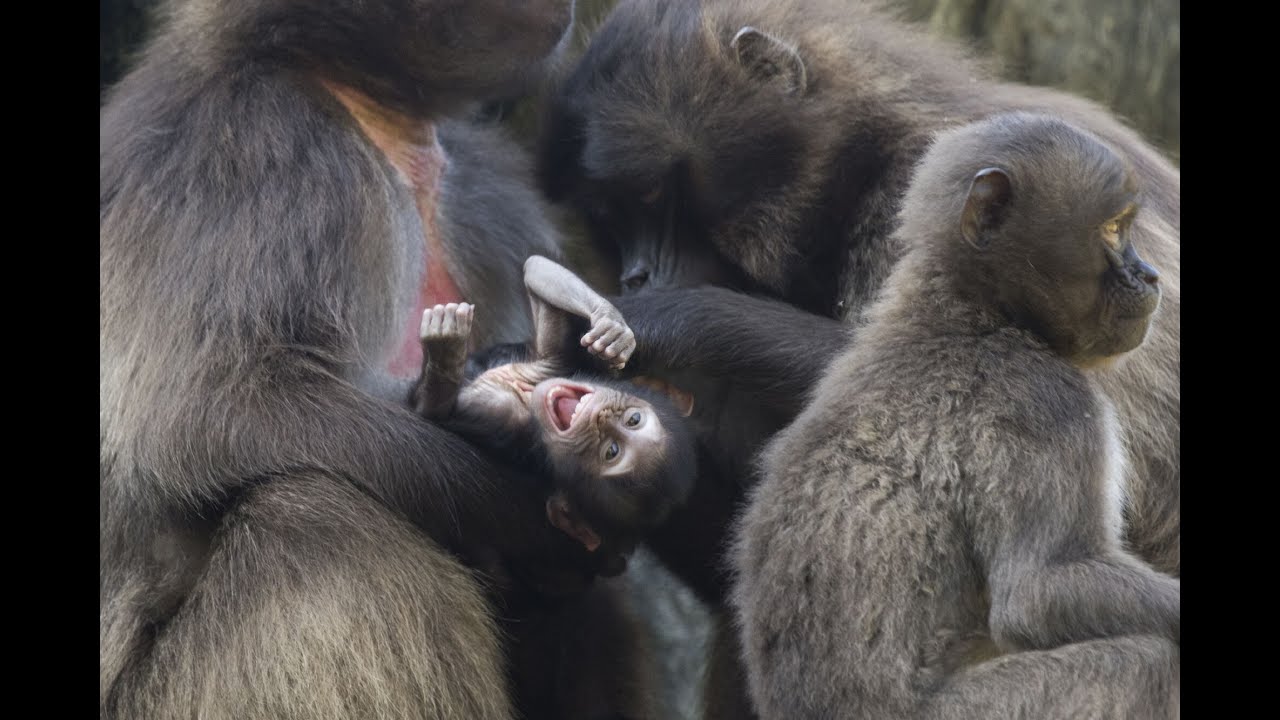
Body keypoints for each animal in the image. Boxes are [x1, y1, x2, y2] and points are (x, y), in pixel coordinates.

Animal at [540, 0, 1180, 581]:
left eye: (652, 195)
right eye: (614, 216)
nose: (636, 275)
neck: (861, 153)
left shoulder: (916, 196)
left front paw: (671, 320)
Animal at [731, 112, 1180, 720]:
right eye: (1113, 230)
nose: (1151, 276)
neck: (973, 312)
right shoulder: (1047, 398)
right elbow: (1039, 592)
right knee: (1148, 663)